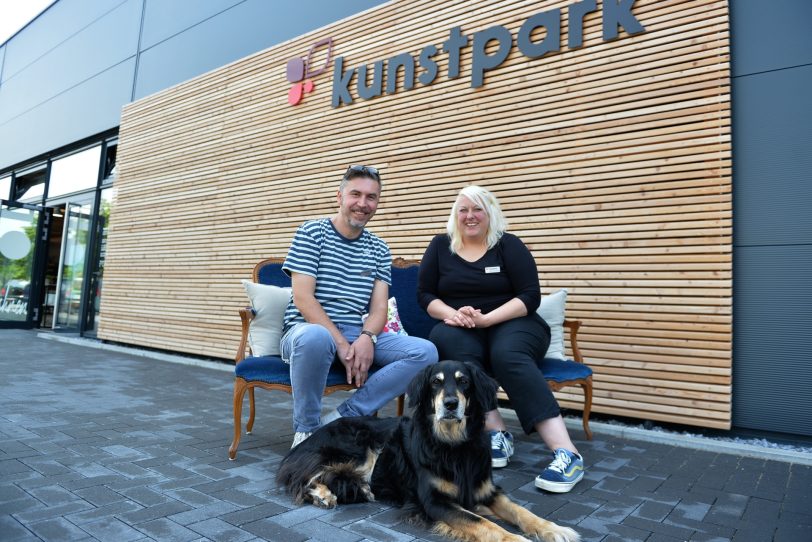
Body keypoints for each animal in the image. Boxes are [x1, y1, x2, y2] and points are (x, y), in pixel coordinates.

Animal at [278, 362, 576, 542]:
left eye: (464, 381)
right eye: (435, 382)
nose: (451, 404)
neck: (454, 445)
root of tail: (312, 435)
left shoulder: (485, 490)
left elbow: (521, 511)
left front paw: (553, 529)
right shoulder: (435, 501)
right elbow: (482, 522)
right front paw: (514, 538)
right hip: (357, 449)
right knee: (305, 477)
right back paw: (323, 494)